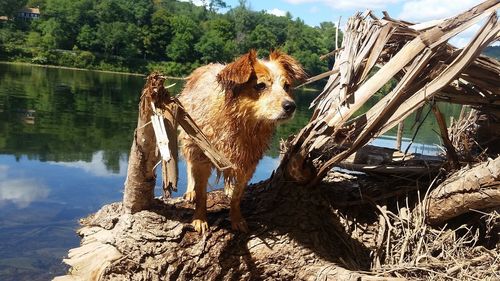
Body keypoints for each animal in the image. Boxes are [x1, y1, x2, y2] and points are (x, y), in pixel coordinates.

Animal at [178, 49, 306, 232]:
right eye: (260, 85)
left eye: (286, 86)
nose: (291, 106)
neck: (240, 123)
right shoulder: (202, 156)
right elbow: (202, 193)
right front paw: (200, 218)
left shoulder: (248, 162)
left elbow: (237, 196)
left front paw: (237, 219)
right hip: (189, 136)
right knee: (189, 165)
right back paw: (190, 191)